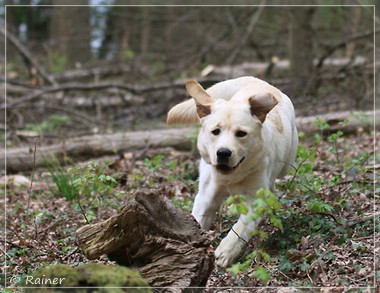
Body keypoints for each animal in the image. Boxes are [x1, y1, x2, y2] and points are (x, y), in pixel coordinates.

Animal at [168, 76, 298, 266]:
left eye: (241, 133)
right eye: (215, 131)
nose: (223, 153)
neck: (231, 177)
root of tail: (253, 79)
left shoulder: (256, 200)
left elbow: (242, 226)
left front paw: (226, 251)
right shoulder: (206, 196)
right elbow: (197, 221)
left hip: (287, 162)